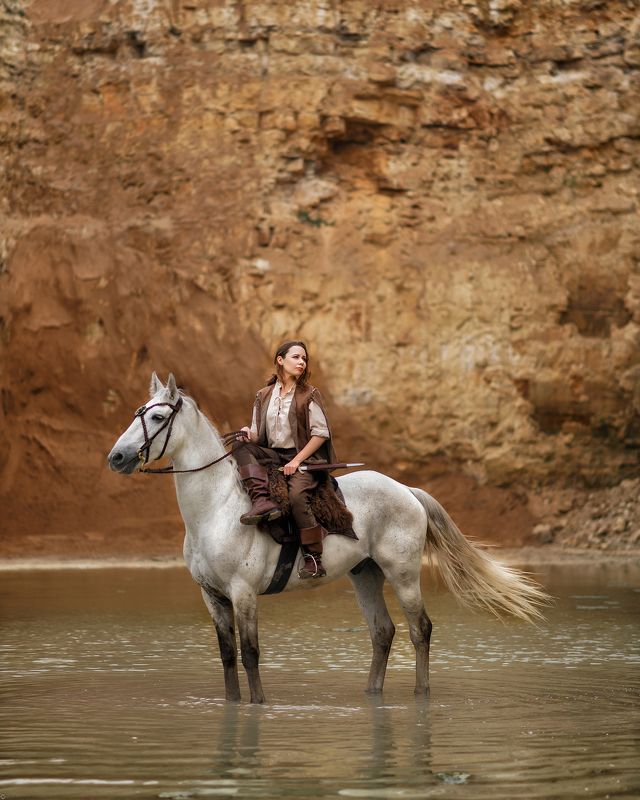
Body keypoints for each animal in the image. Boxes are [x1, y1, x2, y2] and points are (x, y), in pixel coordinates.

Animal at [108, 372, 548, 704]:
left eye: (159, 416)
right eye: (137, 413)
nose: (116, 457)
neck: (218, 507)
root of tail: (406, 490)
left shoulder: (243, 593)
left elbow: (250, 654)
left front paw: (257, 705)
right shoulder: (212, 595)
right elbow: (228, 656)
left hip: (403, 573)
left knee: (420, 629)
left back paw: (421, 694)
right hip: (365, 574)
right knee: (382, 632)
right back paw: (371, 694)